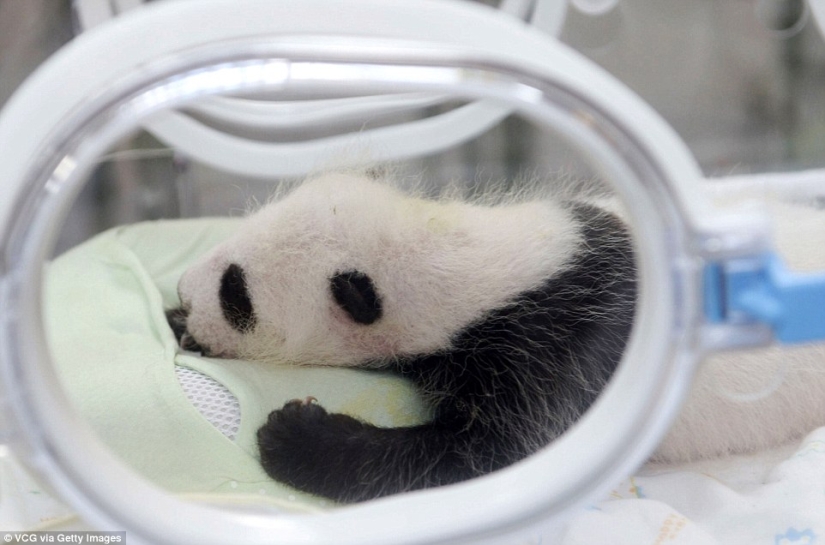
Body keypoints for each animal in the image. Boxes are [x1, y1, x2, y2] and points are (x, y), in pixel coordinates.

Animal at [164, 171, 636, 502]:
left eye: (235, 293)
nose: (183, 288)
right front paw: (178, 323)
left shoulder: (556, 351)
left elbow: (496, 458)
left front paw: (294, 435)